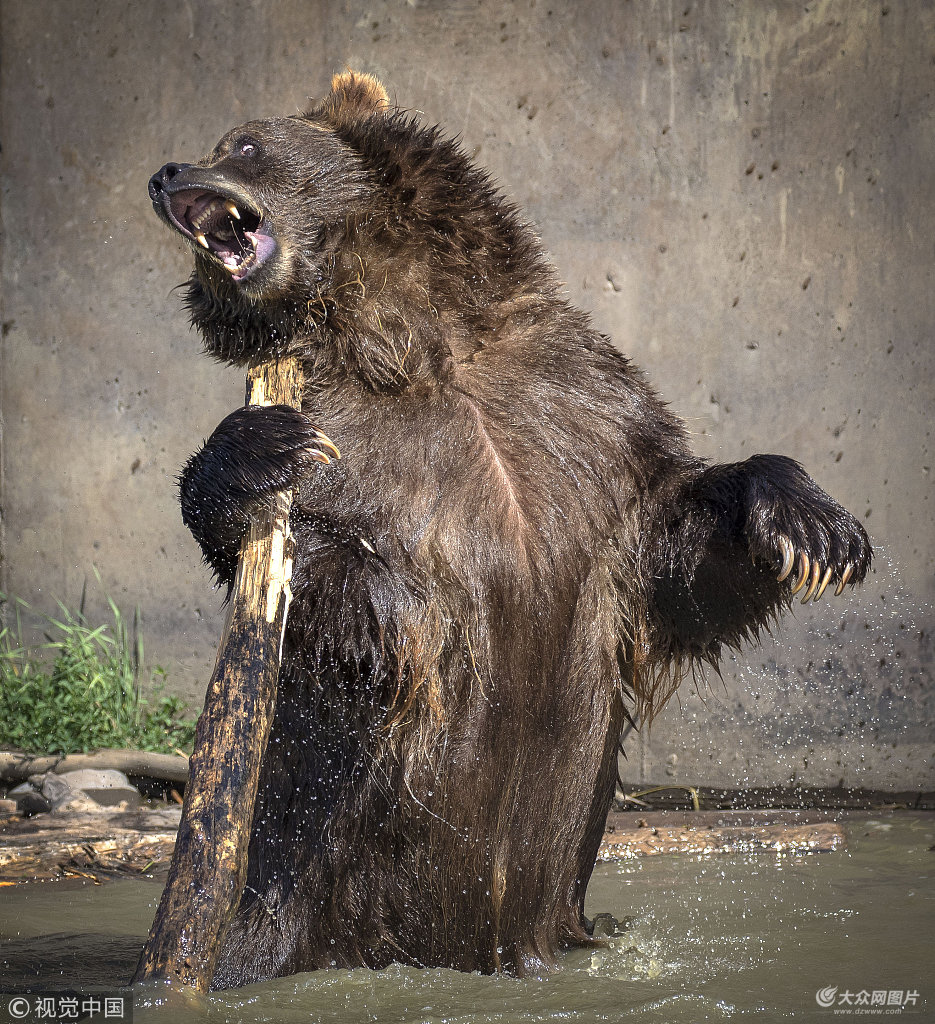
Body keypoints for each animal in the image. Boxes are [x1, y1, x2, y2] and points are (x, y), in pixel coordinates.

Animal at [149, 70, 872, 983]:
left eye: (242, 142)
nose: (165, 172)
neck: (412, 344)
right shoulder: (356, 452)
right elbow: (338, 615)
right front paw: (253, 455)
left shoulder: (583, 425)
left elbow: (677, 560)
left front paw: (816, 532)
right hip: (294, 903)